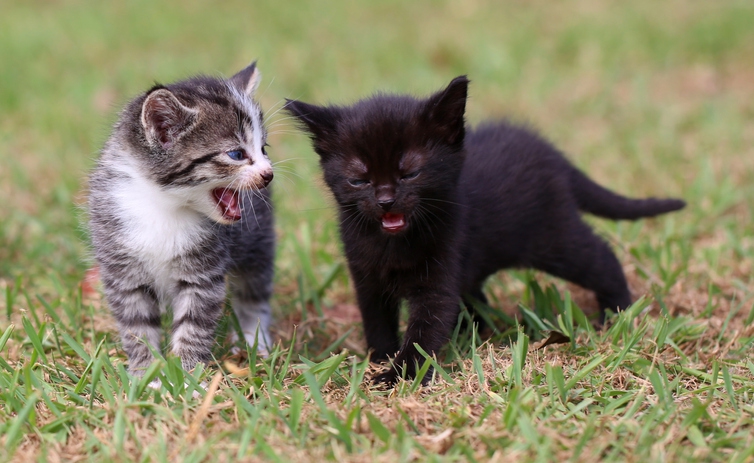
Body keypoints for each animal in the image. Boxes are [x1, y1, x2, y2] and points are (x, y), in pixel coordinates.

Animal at [89, 61, 276, 376]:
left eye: (263, 149)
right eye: (236, 154)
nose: (268, 173)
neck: (164, 206)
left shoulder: (203, 274)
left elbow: (194, 323)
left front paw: (187, 374)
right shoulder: (122, 269)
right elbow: (137, 325)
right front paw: (146, 373)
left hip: (258, 239)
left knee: (254, 291)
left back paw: (254, 340)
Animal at [284, 76, 684, 386]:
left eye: (410, 172)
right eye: (358, 179)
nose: (385, 200)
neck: (391, 246)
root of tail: (552, 154)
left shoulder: (439, 274)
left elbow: (424, 330)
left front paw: (400, 374)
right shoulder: (366, 278)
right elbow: (377, 322)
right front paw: (381, 358)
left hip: (554, 235)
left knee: (600, 256)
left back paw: (617, 312)